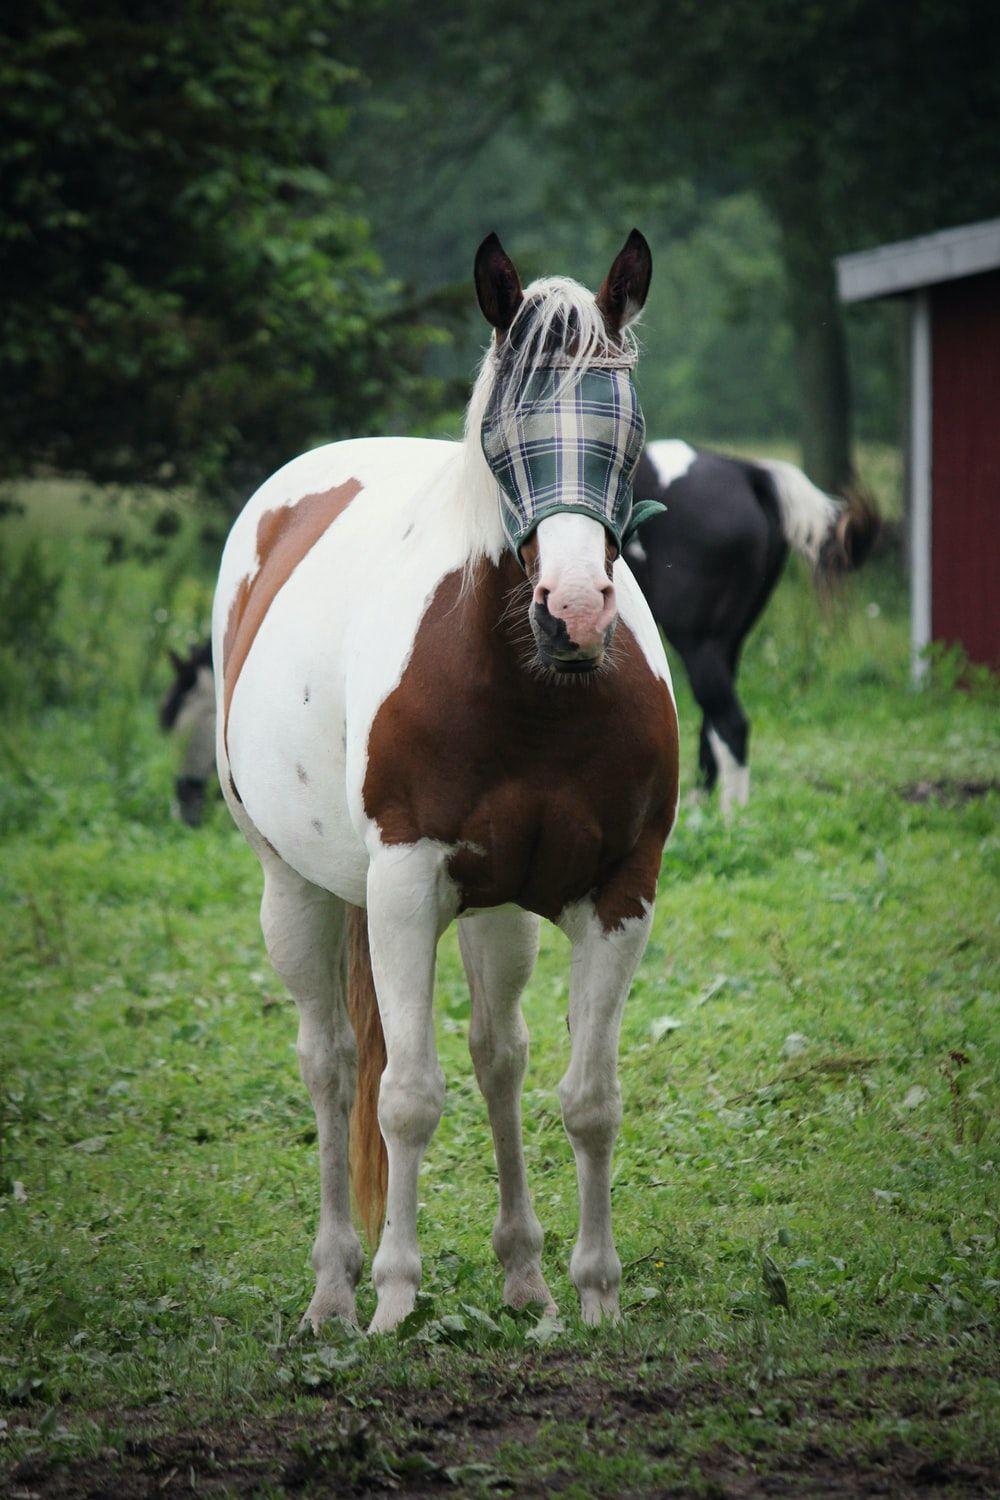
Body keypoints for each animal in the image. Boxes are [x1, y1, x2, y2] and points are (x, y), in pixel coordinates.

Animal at [211, 230, 680, 1334]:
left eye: (628, 423)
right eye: (503, 427)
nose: (574, 612)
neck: (530, 689)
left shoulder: (620, 894)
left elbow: (587, 1099)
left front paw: (594, 1296)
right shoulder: (403, 885)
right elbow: (407, 1098)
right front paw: (393, 1297)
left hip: (497, 911)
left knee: (498, 1056)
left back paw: (522, 1274)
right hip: (296, 892)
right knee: (335, 1068)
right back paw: (334, 1290)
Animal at [625, 442, 878, 815]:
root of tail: (747, 472)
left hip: (698, 642)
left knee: (731, 725)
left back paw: (730, 819)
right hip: (727, 642)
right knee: (713, 725)